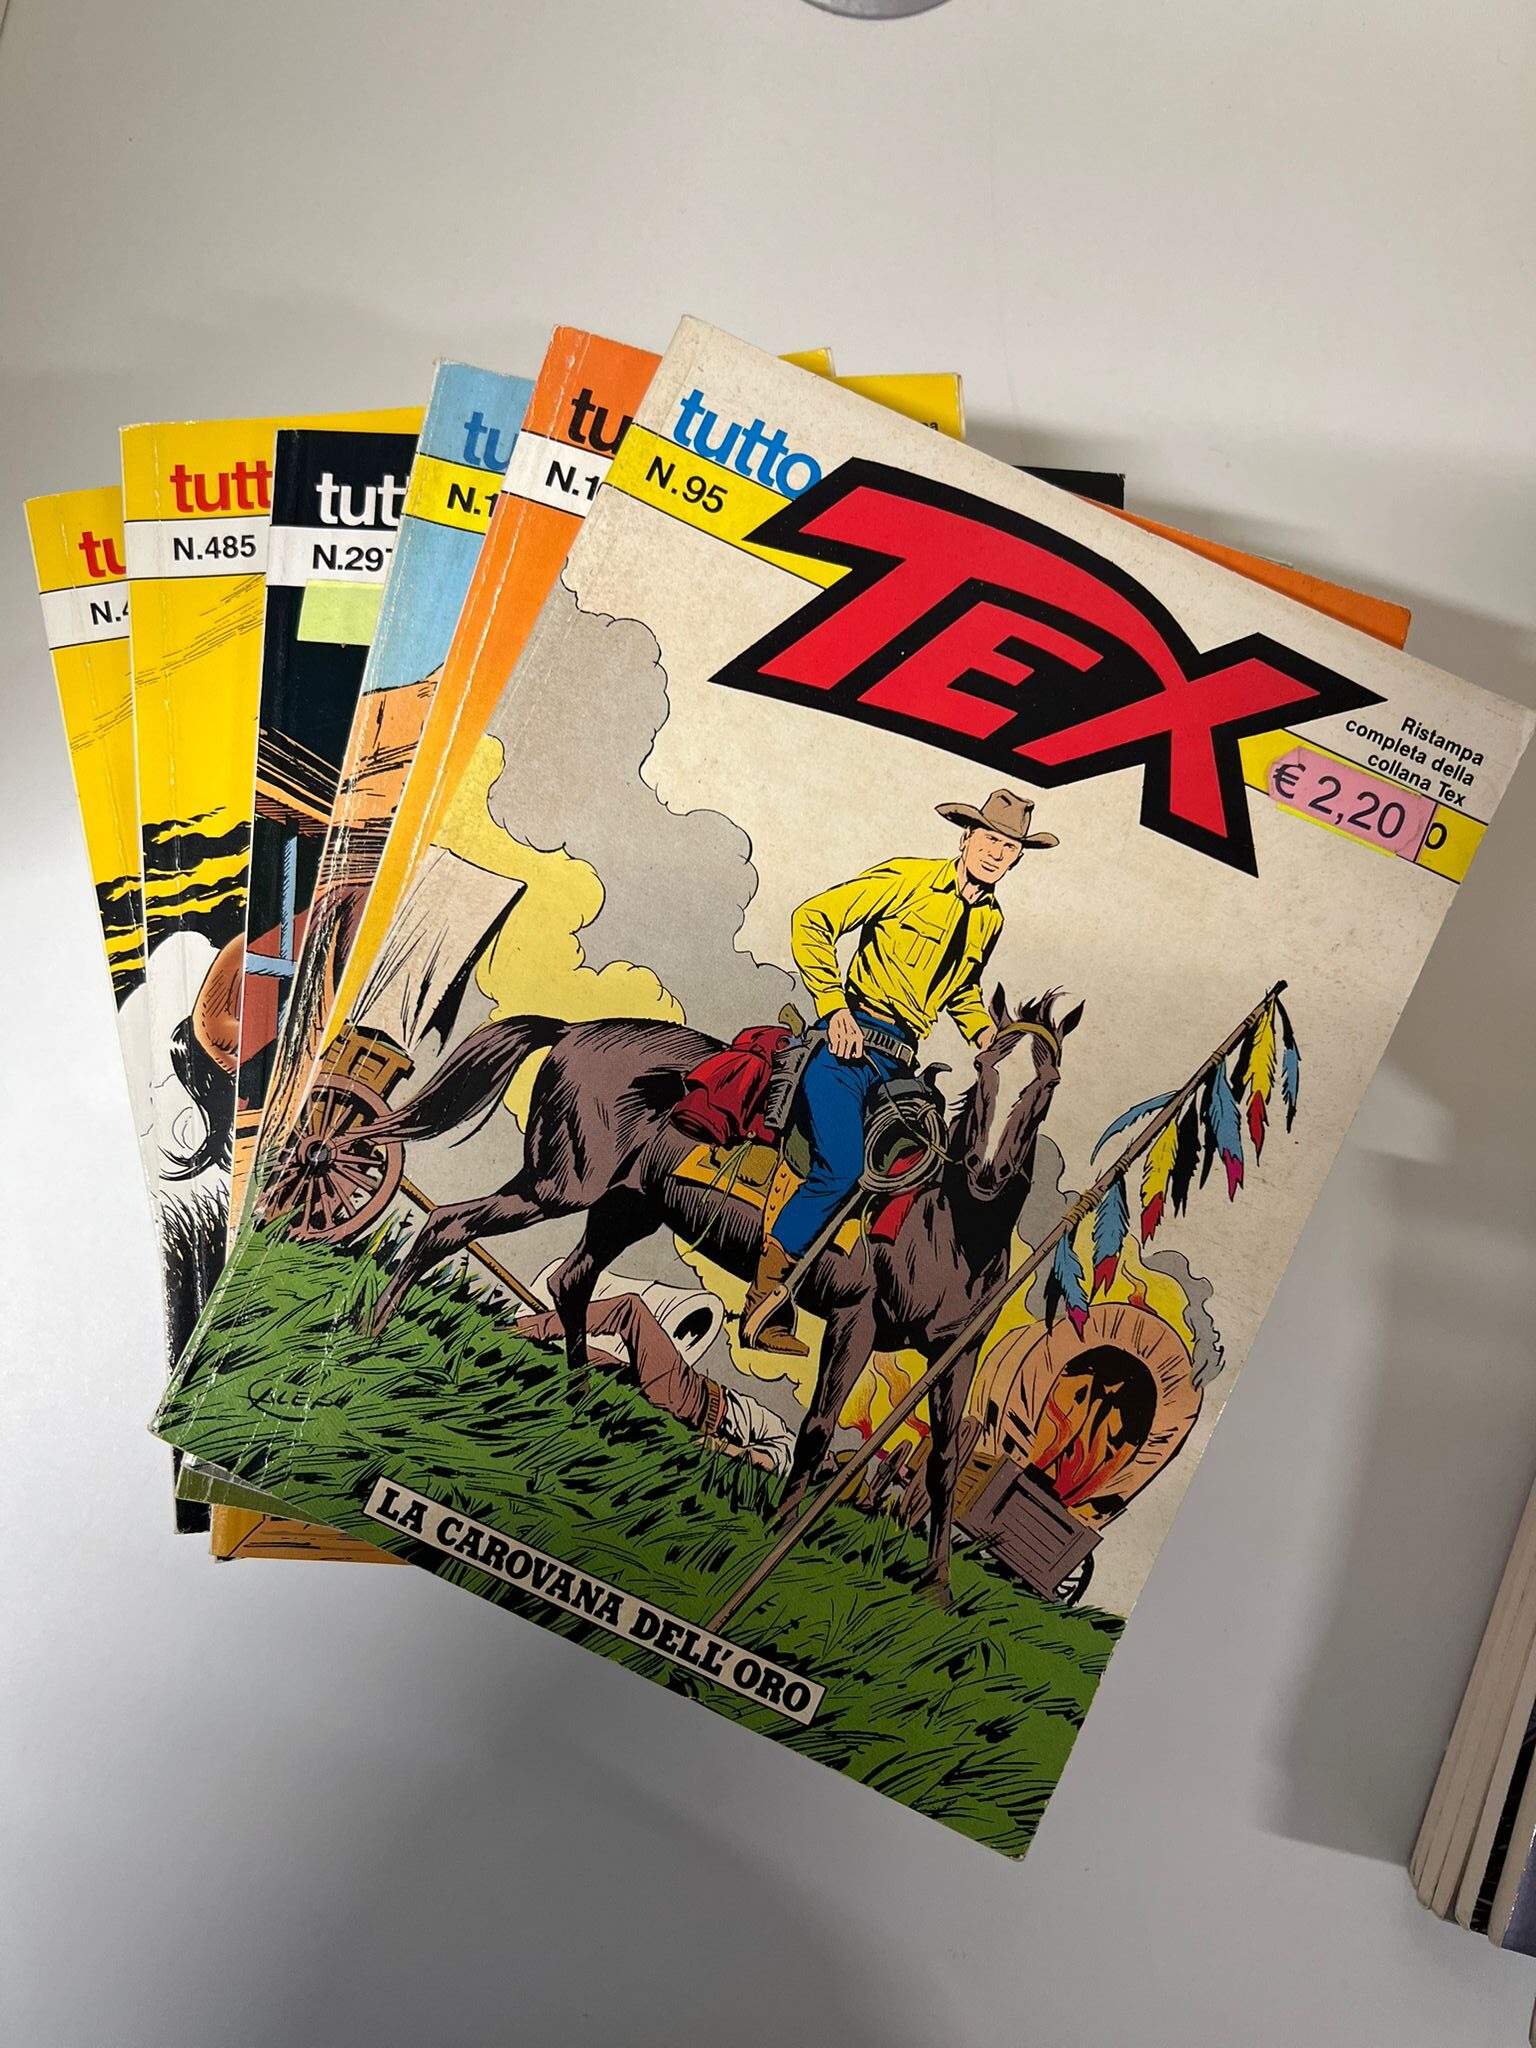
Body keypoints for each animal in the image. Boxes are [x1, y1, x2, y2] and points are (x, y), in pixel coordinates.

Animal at [361, 986, 1081, 1598]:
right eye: (985, 1067)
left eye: (1047, 1084)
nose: (985, 1171)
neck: (946, 1225)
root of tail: (575, 1029)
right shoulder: (856, 1321)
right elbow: (819, 1428)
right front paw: (776, 1540)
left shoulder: (955, 1355)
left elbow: (947, 1461)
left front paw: (936, 1587)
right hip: (560, 1186)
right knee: (448, 1226)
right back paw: (371, 1336)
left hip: (626, 1208)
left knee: (570, 1279)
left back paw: (577, 1399)